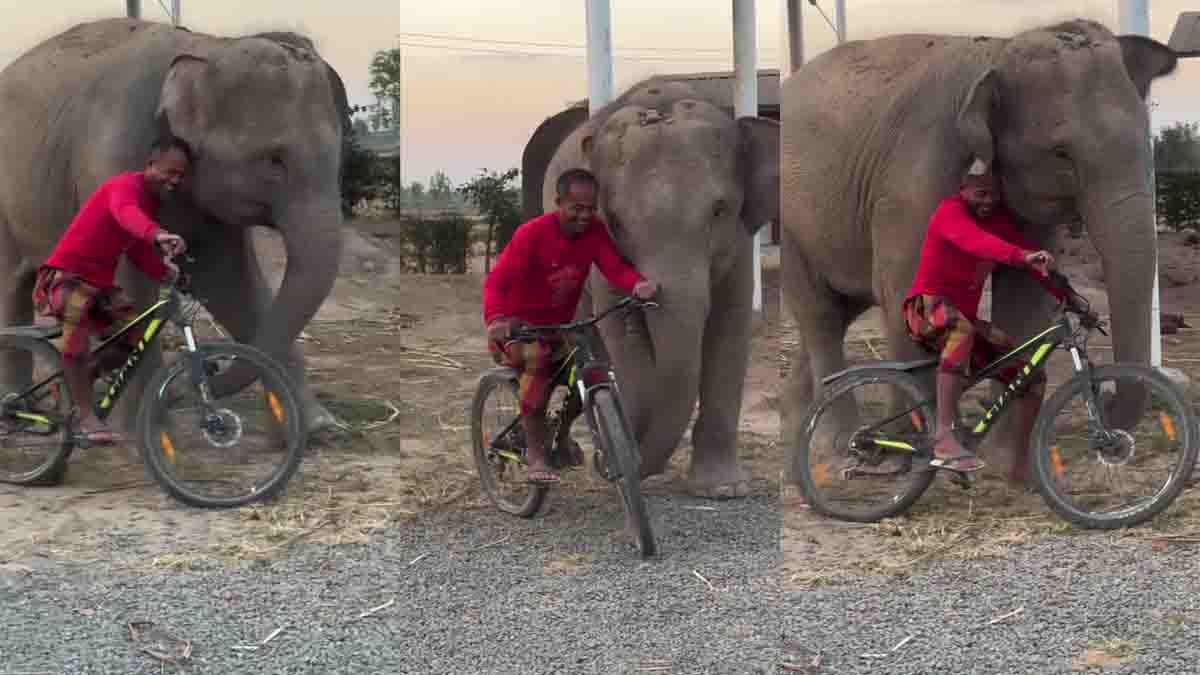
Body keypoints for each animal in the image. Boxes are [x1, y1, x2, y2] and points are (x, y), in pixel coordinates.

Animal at [0, 18, 348, 434]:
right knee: (10, 287)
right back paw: (22, 408)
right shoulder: (112, 153)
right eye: (274, 160)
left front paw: (319, 428)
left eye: (339, 154)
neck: (210, 47)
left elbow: (232, 282)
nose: (196, 377)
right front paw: (145, 427)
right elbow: (135, 281)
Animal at [526, 78, 779, 498]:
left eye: (719, 211)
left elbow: (729, 328)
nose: (604, 463)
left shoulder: (741, 241)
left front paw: (724, 490)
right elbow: (622, 335)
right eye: (615, 220)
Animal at [779, 19, 1178, 485]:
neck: (999, 54)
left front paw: (1008, 468)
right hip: (791, 224)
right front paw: (911, 455)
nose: (1109, 401)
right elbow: (901, 284)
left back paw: (800, 428)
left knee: (843, 307)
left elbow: (1026, 297)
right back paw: (842, 445)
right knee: (821, 312)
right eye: (1062, 153)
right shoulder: (915, 177)